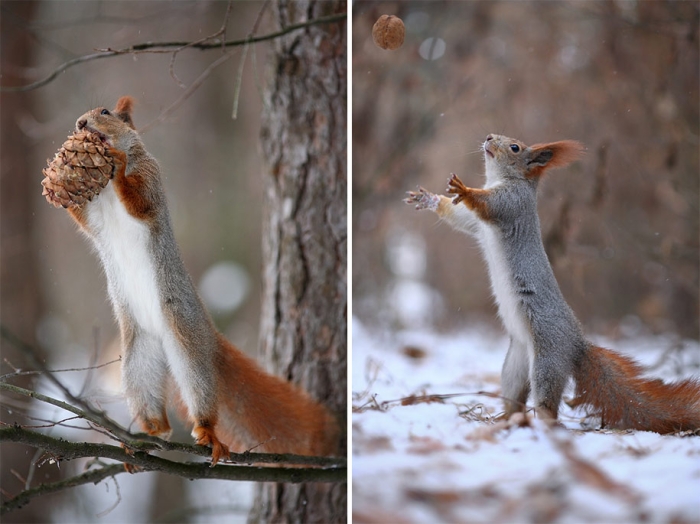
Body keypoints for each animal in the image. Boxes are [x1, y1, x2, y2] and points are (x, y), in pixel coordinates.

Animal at [63, 96, 339, 465]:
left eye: (105, 112)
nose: (80, 123)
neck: (105, 189)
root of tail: (209, 335)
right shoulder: (95, 220)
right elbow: (82, 220)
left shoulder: (151, 177)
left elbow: (141, 203)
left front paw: (118, 164)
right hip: (138, 361)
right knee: (153, 407)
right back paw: (147, 435)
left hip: (185, 341)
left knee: (200, 391)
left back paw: (206, 432)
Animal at [405, 133, 700, 434]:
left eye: (515, 147)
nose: (489, 137)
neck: (502, 180)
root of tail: (576, 343)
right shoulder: (477, 225)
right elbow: (461, 220)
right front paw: (428, 198)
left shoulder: (512, 204)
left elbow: (487, 205)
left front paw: (464, 189)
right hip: (516, 364)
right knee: (515, 396)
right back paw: (504, 419)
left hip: (547, 359)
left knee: (548, 404)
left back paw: (541, 424)